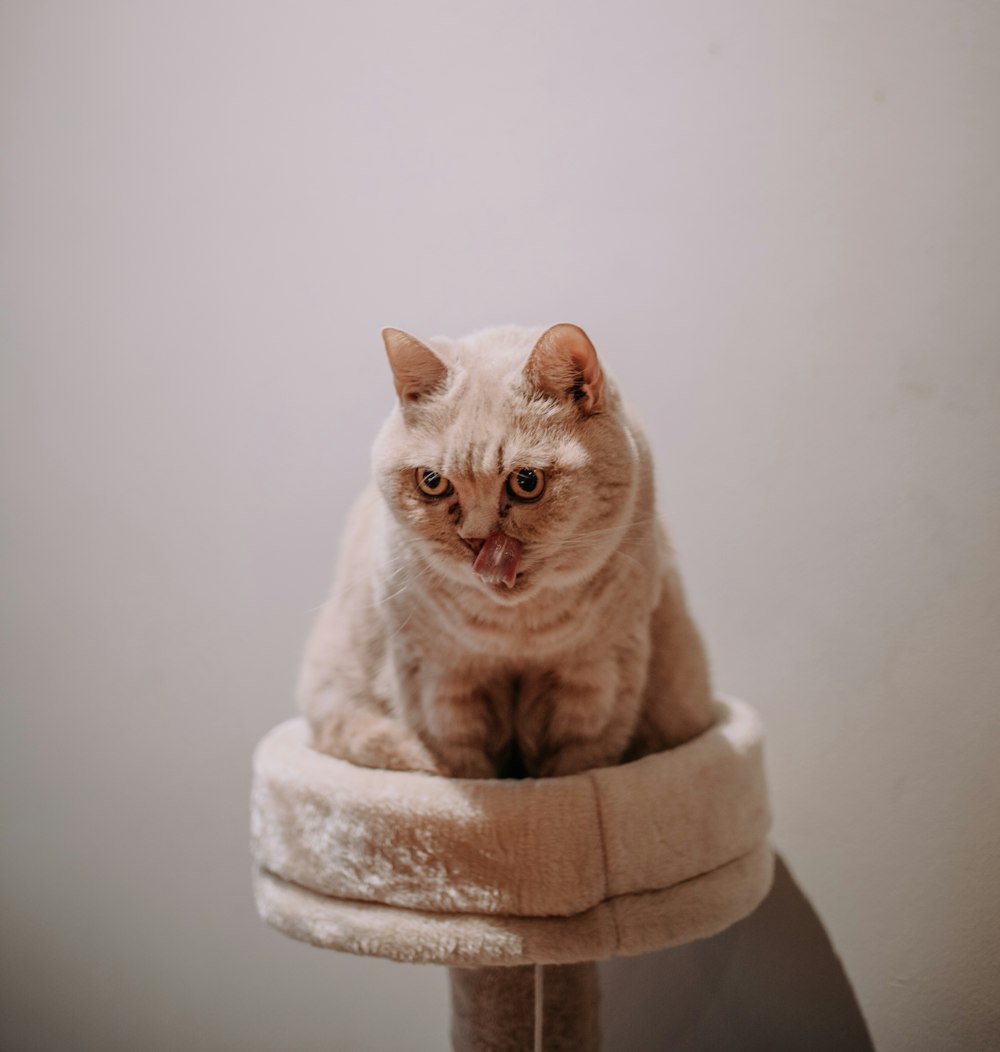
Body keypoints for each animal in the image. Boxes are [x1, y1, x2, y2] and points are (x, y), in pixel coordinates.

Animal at [300, 324, 715, 778]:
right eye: (432, 482)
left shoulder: (599, 678)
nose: (476, 541)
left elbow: (578, 766)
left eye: (526, 482)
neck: (516, 633)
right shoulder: (438, 683)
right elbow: (464, 768)